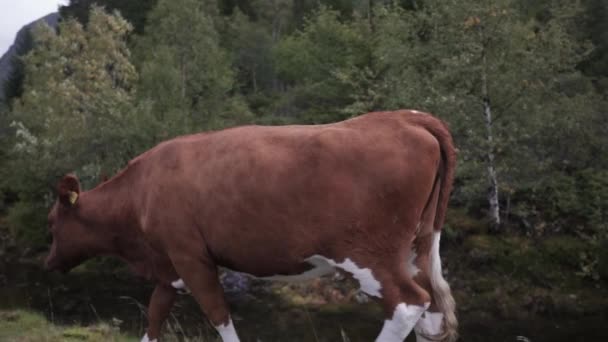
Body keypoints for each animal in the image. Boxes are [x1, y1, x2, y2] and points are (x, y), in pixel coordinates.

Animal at [46, 110, 456, 342]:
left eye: (51, 222)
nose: (48, 264)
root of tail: (404, 116)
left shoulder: (190, 256)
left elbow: (219, 316)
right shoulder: (168, 267)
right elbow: (154, 316)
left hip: (368, 253)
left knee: (408, 303)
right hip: (416, 246)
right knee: (432, 309)